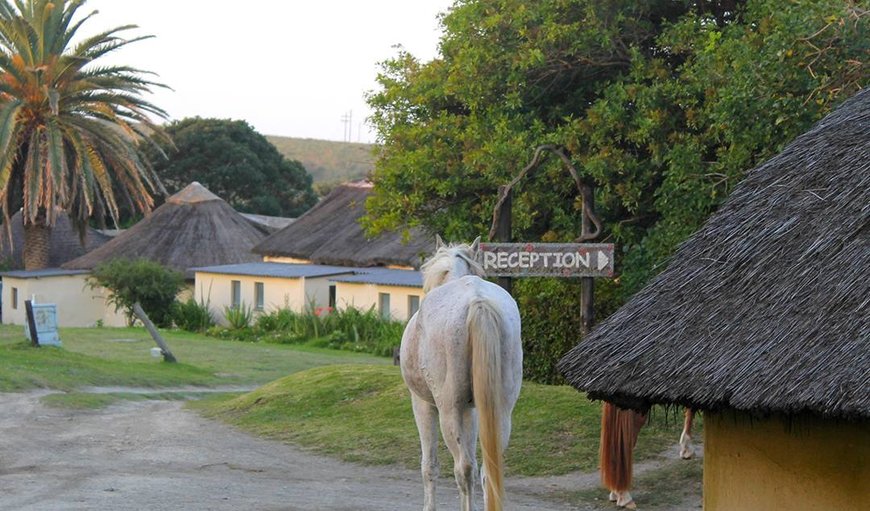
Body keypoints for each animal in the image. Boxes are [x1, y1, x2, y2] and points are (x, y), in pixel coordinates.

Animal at [402, 237, 524, 511]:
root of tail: (477, 301)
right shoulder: (474, 410)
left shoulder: (423, 404)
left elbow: (429, 466)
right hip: (500, 411)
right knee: (487, 470)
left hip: (449, 411)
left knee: (464, 469)